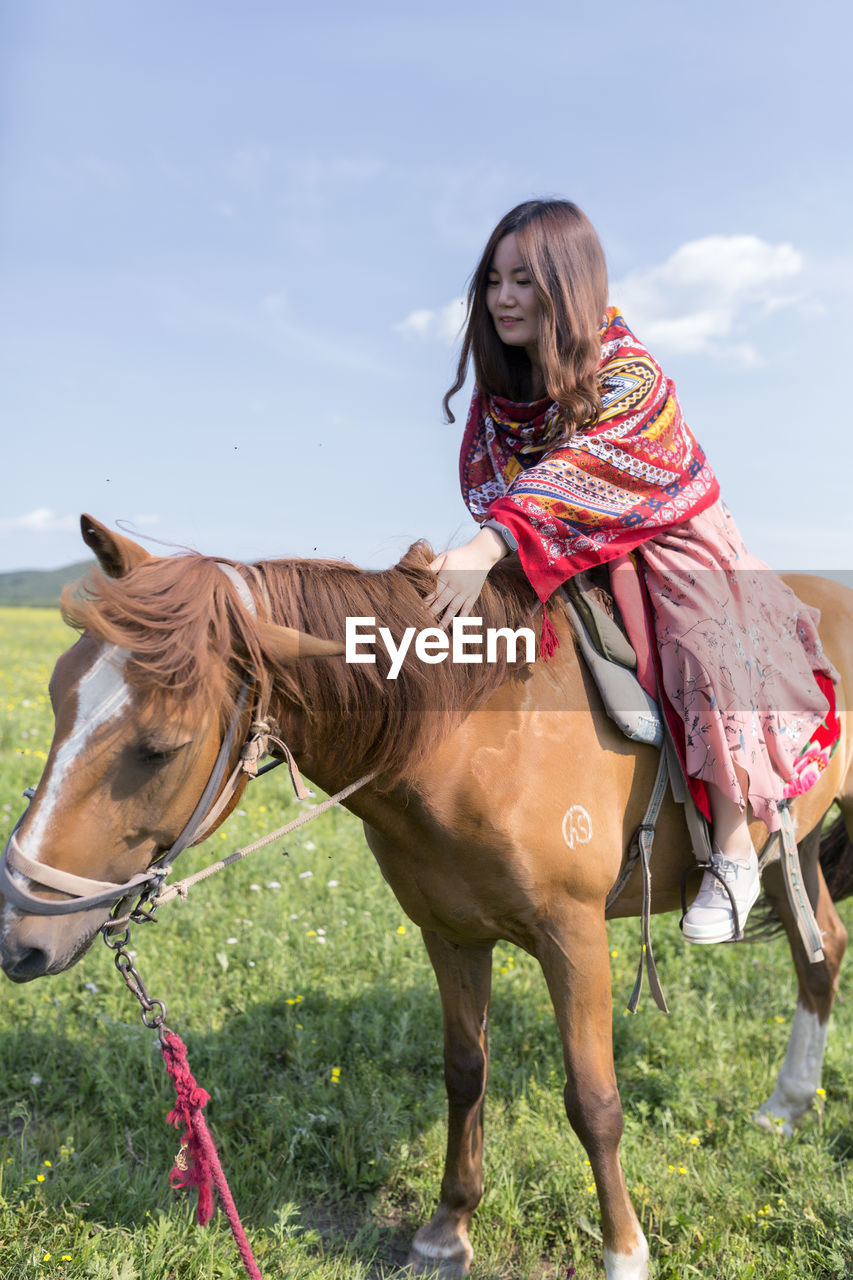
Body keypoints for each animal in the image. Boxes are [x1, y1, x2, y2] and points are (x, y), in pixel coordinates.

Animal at [1, 512, 850, 1280]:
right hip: (796, 846)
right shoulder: (449, 930)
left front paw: (624, 1254)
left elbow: (593, 1101)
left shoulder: (572, 934)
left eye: (161, 747)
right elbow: (464, 1074)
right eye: (57, 697)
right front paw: (445, 1233)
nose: (22, 938)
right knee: (819, 953)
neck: (471, 729)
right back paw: (786, 1107)